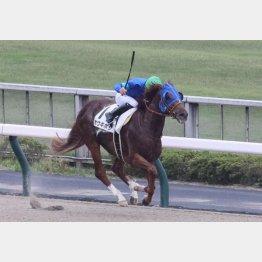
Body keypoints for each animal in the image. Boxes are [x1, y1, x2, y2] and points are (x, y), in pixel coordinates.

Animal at [51, 83, 187, 207]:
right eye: (168, 96)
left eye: (179, 94)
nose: (183, 113)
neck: (147, 127)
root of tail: (87, 107)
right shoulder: (133, 157)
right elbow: (152, 171)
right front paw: (144, 193)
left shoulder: (150, 157)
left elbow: (151, 175)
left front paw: (144, 195)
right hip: (92, 142)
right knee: (100, 171)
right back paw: (121, 197)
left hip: (119, 149)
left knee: (117, 168)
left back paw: (134, 191)